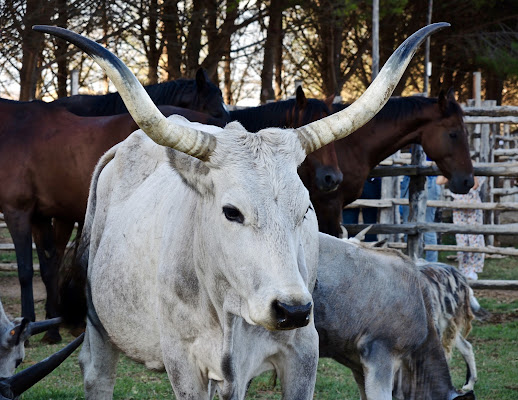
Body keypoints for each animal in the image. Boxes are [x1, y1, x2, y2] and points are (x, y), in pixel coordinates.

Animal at [33, 23, 450, 398]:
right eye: (231, 212)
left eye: (305, 210)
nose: (292, 309)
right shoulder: (184, 363)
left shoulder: (302, 353)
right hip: (99, 326)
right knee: (97, 374)